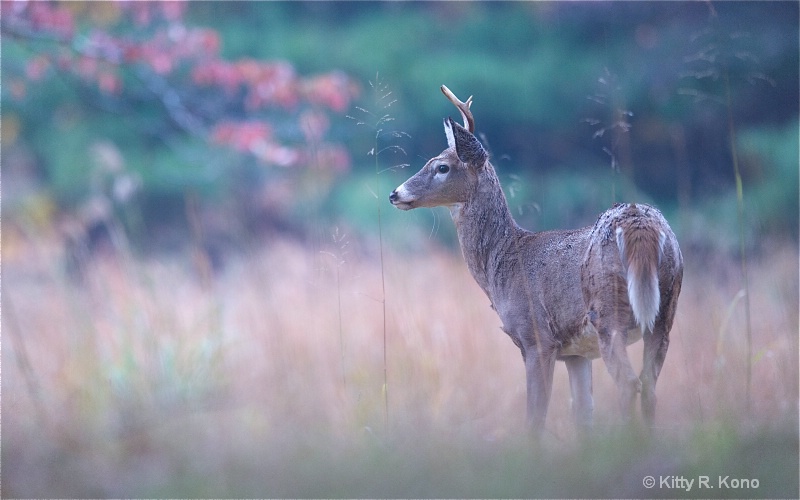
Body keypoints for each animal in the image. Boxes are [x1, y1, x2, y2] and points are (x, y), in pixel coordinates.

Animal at [388, 86, 680, 434]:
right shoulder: (576, 354)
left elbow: (535, 419)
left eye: (442, 167)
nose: (395, 193)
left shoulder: (536, 338)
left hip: (609, 312)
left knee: (629, 383)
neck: (501, 263)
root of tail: (641, 223)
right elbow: (583, 414)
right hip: (664, 312)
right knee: (649, 385)